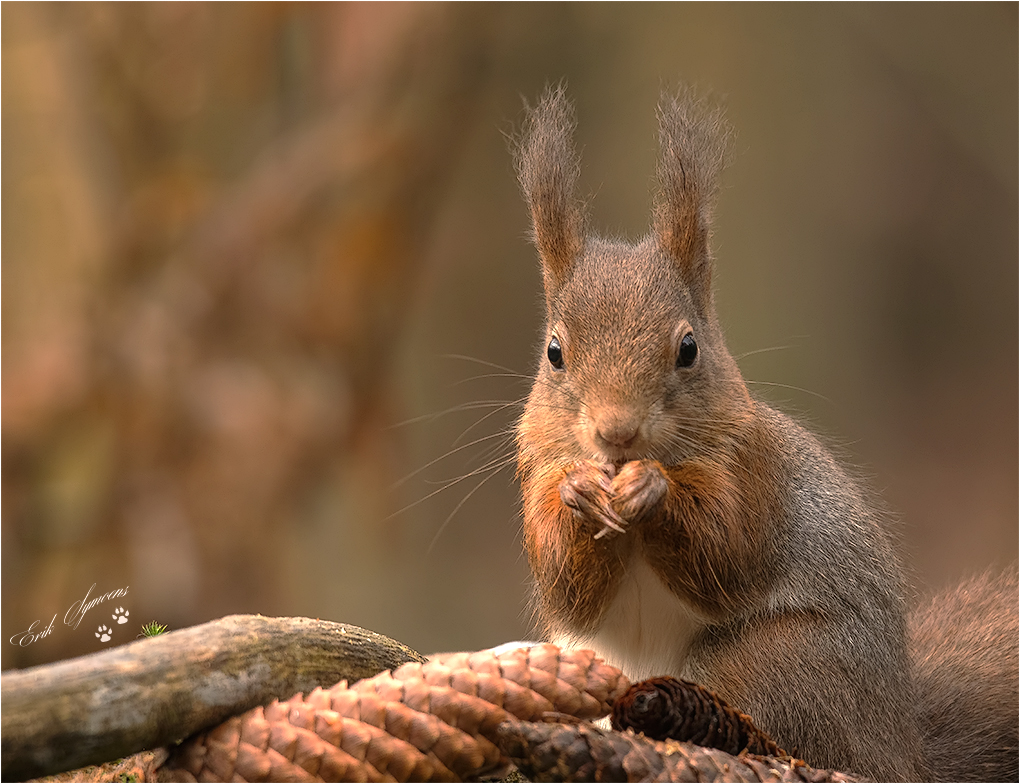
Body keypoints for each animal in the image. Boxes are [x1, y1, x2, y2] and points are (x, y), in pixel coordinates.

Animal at [514, 82, 1015, 778]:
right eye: (554, 354)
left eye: (688, 349)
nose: (617, 434)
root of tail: (900, 751)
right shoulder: (533, 475)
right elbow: (567, 586)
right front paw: (580, 493)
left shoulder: (757, 473)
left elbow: (726, 551)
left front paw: (653, 490)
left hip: (774, 663)